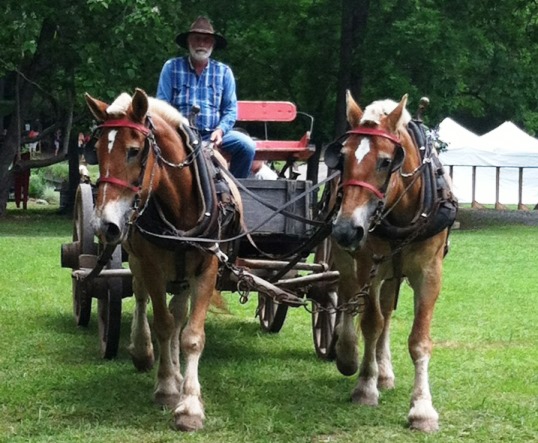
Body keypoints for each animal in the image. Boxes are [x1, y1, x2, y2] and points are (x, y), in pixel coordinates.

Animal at [84, 88, 241, 432]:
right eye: (97, 151)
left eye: (133, 151)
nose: (104, 225)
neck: (181, 208)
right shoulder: (153, 266)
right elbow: (163, 324)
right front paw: (167, 387)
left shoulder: (207, 268)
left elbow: (190, 336)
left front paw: (189, 404)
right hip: (139, 260)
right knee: (143, 299)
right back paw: (143, 351)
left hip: (182, 274)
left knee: (179, 313)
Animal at [324, 91, 454, 434]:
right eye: (342, 158)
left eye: (386, 161)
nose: (346, 229)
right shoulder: (367, 263)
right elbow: (370, 322)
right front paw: (365, 386)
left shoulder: (429, 273)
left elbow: (418, 339)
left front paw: (422, 408)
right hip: (346, 260)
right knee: (349, 299)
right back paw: (348, 354)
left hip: (392, 275)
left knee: (386, 313)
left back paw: (384, 371)